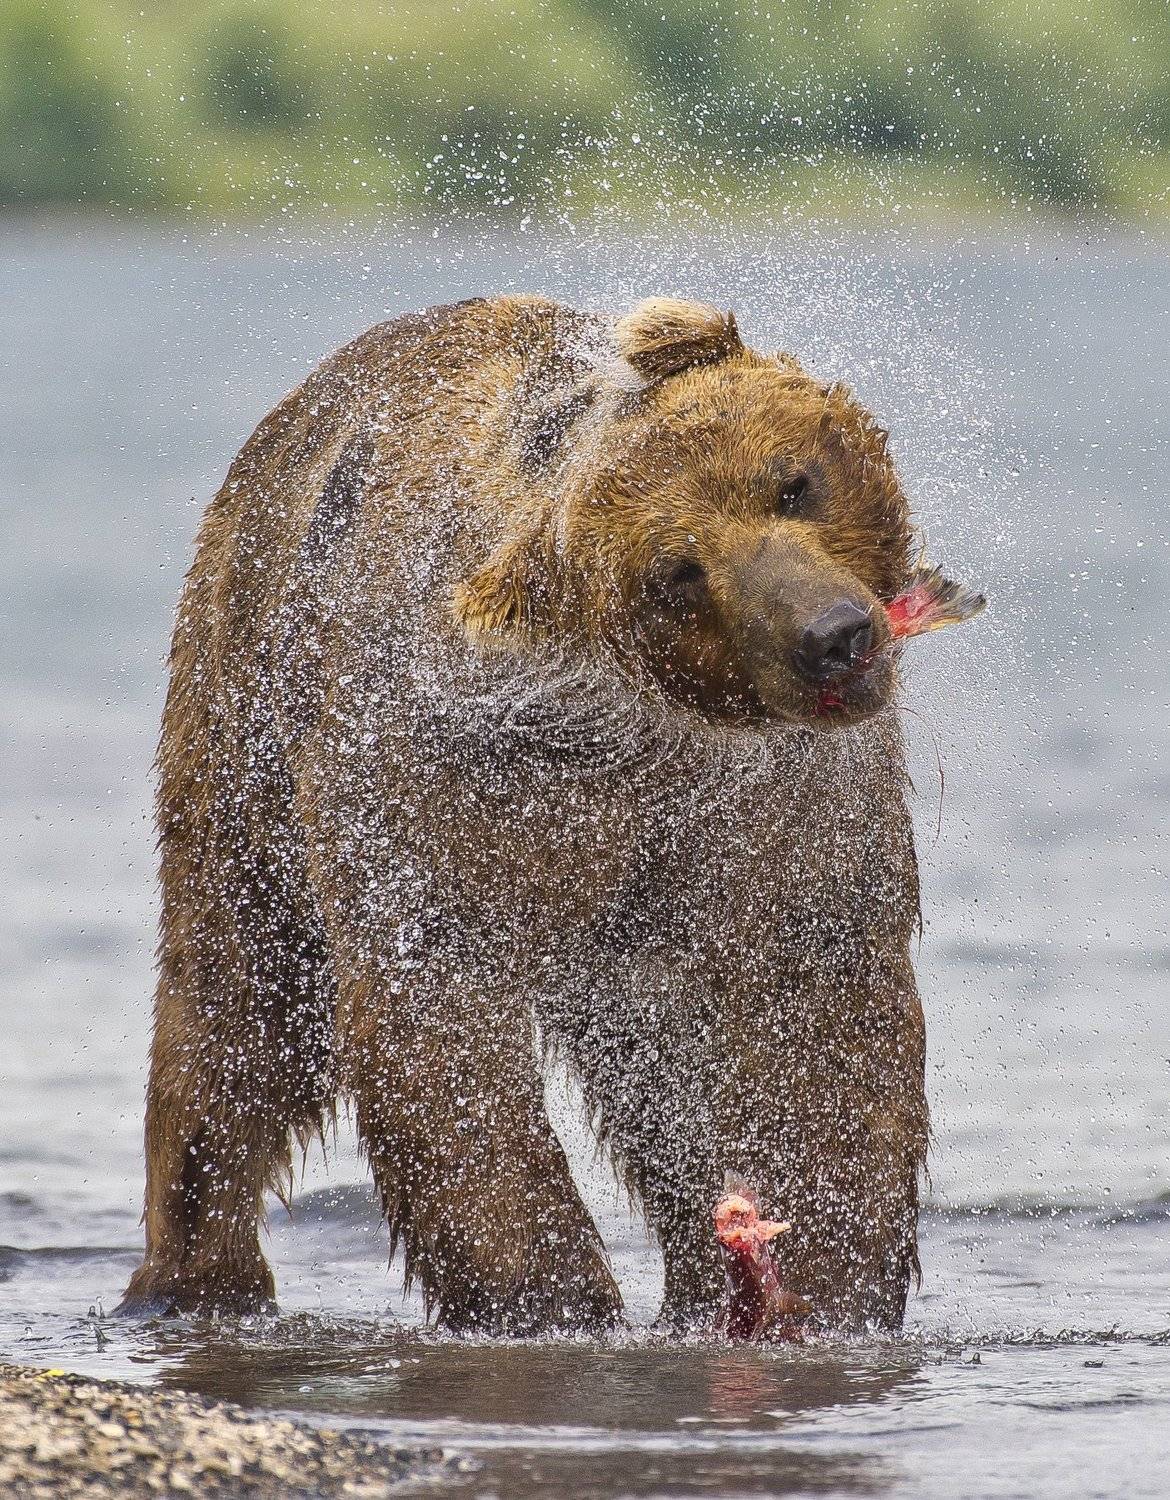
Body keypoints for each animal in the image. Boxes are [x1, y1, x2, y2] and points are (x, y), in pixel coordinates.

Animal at [121, 294, 932, 1335]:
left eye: (793, 484)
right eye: (679, 572)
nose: (832, 637)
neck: (630, 733)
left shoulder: (774, 809)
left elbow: (814, 1010)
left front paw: (830, 1283)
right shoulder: (438, 779)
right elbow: (437, 1014)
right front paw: (546, 1294)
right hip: (241, 711)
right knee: (239, 999)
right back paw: (194, 1275)